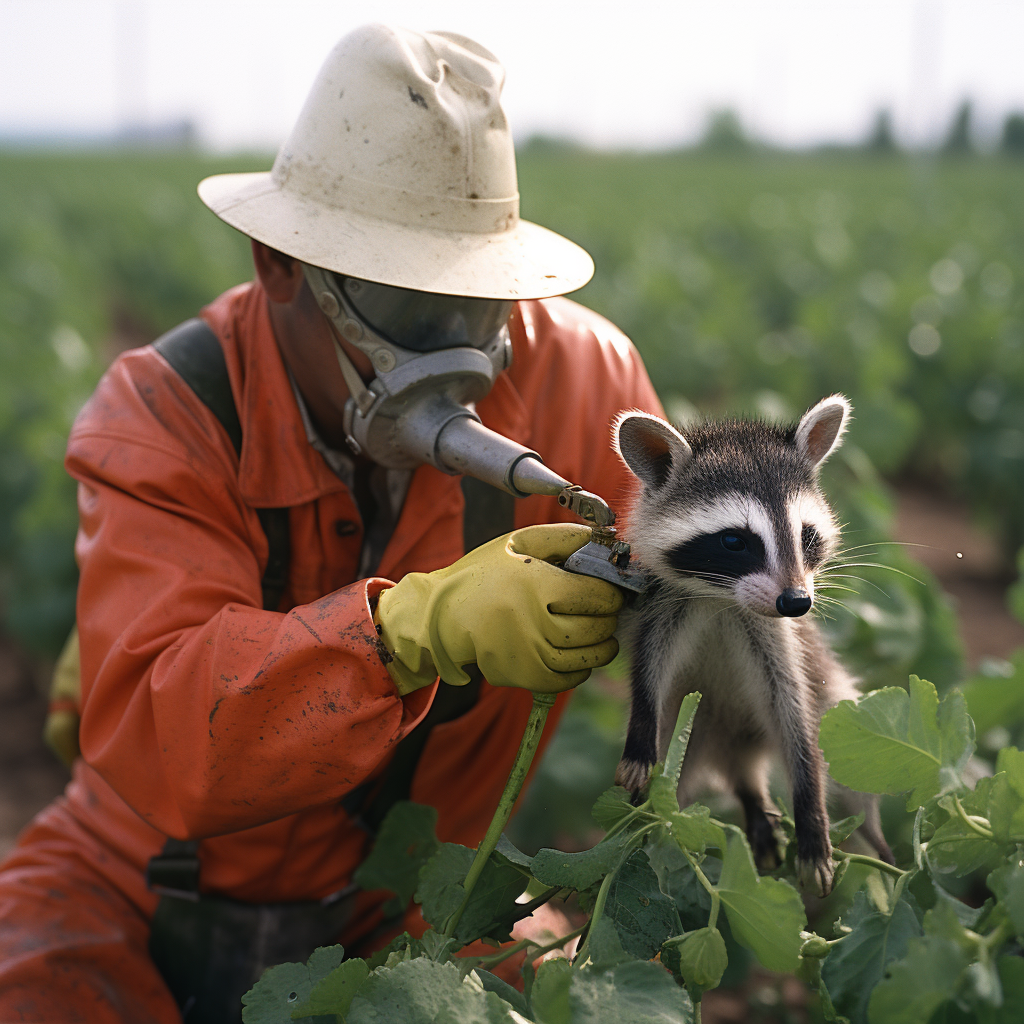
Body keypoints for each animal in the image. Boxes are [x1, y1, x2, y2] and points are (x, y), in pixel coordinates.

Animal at [606, 399, 888, 897]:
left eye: (806, 536)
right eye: (735, 541)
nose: (797, 602)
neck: (724, 600)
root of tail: (736, 757)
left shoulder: (777, 637)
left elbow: (795, 711)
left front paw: (812, 817)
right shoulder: (666, 606)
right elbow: (649, 668)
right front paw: (639, 730)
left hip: (834, 715)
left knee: (849, 776)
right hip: (688, 741)